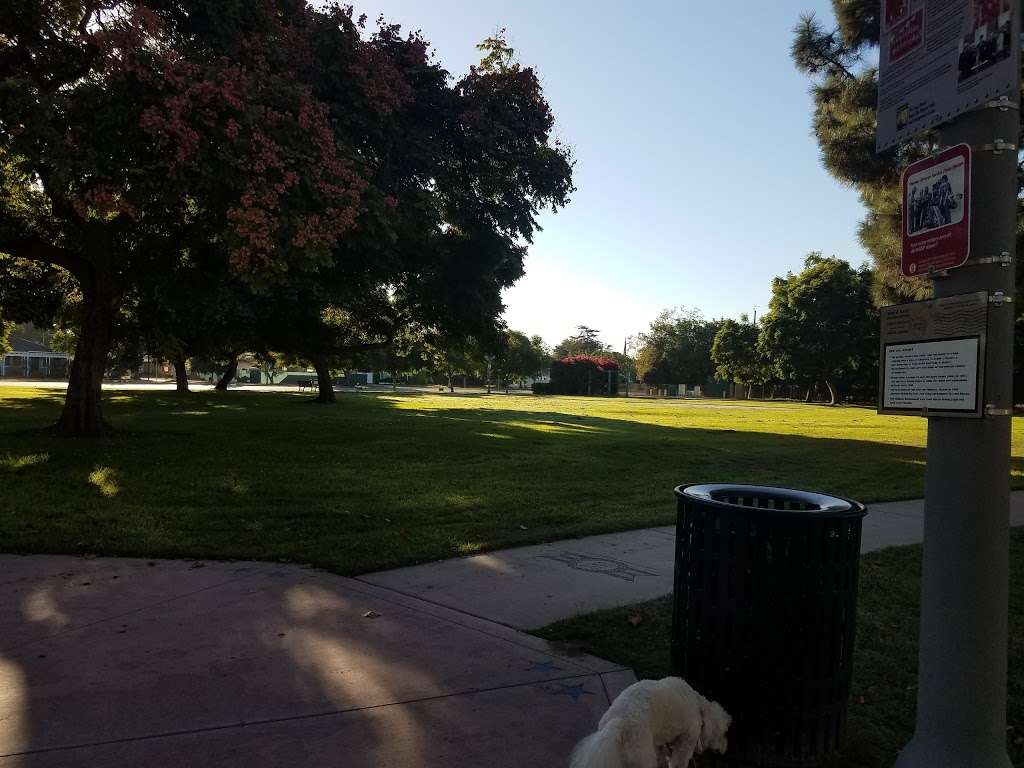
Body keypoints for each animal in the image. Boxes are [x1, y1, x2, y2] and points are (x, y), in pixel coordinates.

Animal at [569, 679, 729, 768]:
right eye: (723, 733)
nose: (724, 750)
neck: (698, 705)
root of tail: (618, 722)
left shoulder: (658, 741)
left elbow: (662, 755)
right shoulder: (687, 741)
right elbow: (679, 762)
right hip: (641, 758)